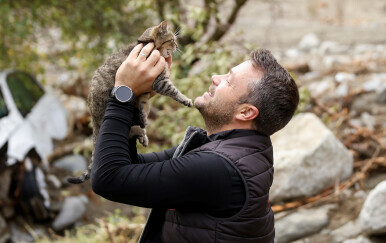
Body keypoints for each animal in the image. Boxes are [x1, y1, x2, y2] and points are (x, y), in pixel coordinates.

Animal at [67, 20, 193, 184]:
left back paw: (142, 134)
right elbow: (174, 91)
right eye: (172, 39)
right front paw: (186, 99)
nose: (177, 46)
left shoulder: (145, 92)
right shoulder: (160, 82)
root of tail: (93, 121)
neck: (148, 44)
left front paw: (144, 120)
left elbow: (144, 107)